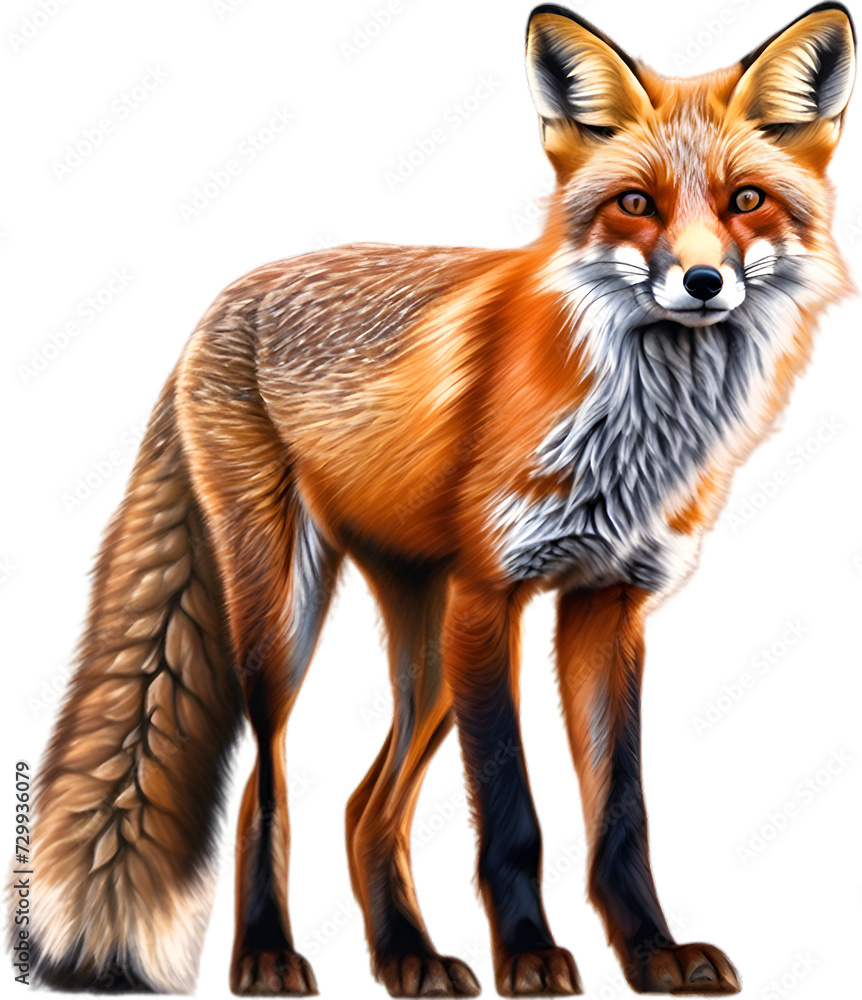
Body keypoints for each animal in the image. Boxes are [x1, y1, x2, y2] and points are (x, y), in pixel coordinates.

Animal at [21, 2, 856, 997]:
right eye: (637, 203)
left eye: (746, 201)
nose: (702, 283)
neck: (634, 430)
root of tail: (225, 300)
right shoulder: (492, 592)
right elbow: (511, 815)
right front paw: (530, 956)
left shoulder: (608, 603)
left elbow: (622, 815)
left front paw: (654, 953)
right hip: (286, 620)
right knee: (268, 787)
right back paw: (269, 955)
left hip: (429, 646)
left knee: (363, 806)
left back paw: (408, 957)